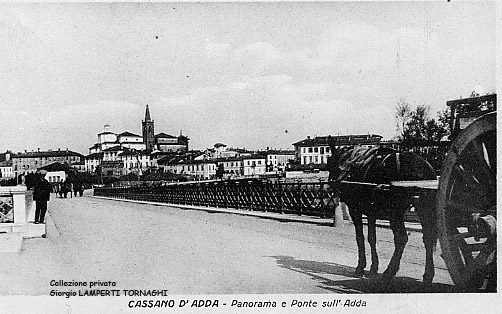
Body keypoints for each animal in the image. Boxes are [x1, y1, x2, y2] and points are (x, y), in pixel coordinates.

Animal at [326, 145, 440, 288]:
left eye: (330, 166)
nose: (331, 185)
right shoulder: (371, 212)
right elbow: (371, 238)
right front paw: (374, 267)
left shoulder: (355, 210)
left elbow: (360, 238)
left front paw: (361, 267)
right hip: (423, 207)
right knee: (428, 238)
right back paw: (428, 274)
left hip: (396, 212)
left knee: (401, 238)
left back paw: (389, 272)